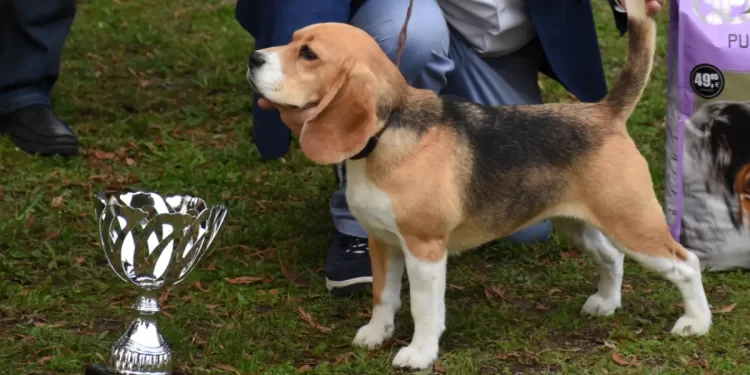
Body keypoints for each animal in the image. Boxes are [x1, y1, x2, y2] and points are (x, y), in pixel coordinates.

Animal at [250, 0, 712, 370]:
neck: (387, 134)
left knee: (687, 263)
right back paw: (607, 304)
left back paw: (696, 322)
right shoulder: (382, 241)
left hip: (633, 223)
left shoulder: (425, 249)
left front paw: (419, 354)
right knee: (611, 257)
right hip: (576, 223)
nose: (254, 58)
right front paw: (375, 333)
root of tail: (605, 112)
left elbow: (424, 309)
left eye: (308, 53)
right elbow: (384, 296)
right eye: (292, 40)